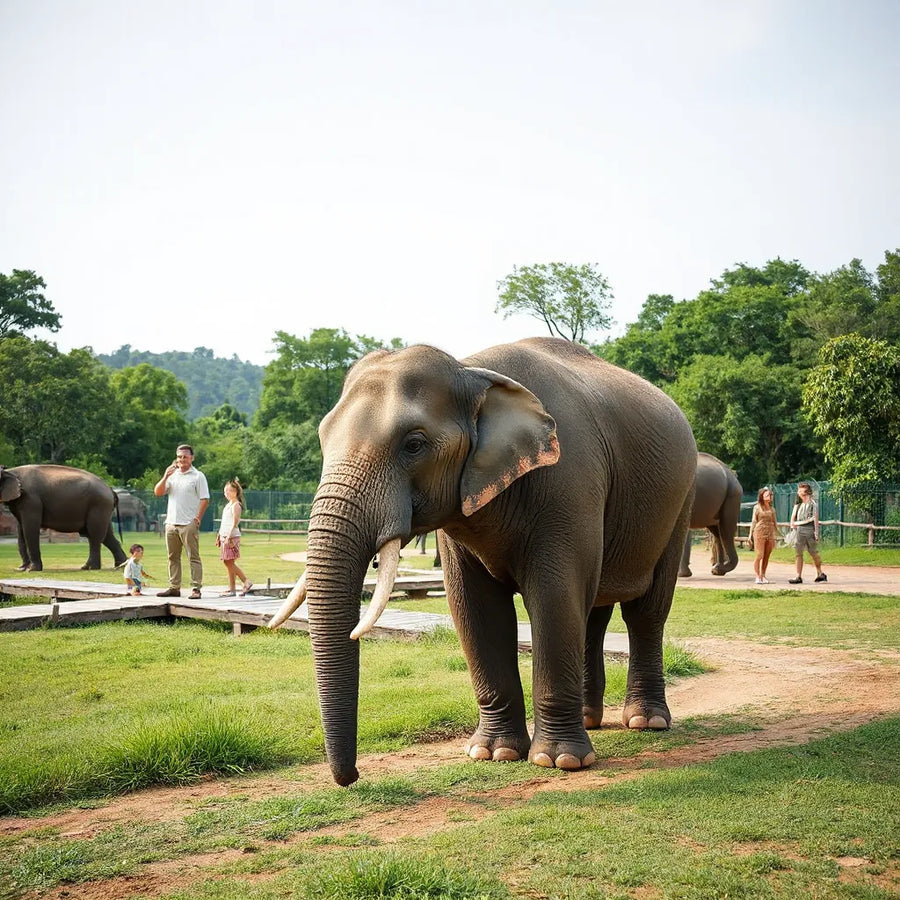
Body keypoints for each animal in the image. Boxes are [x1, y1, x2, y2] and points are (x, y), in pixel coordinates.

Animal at [268, 337, 697, 786]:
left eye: (414, 444)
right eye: (322, 437)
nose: (350, 777)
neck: (470, 371)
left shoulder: (570, 481)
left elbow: (555, 596)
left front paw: (559, 761)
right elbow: (475, 608)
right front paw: (494, 754)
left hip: (679, 501)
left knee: (644, 612)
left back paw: (646, 722)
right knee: (593, 614)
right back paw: (589, 720)